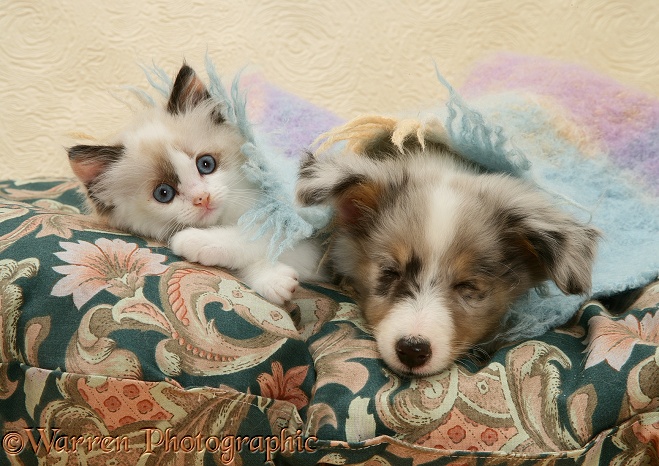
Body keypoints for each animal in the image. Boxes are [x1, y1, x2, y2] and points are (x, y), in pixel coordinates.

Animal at [67, 64, 324, 306]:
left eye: (206, 164)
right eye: (163, 193)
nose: (202, 198)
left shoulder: (301, 229)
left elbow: (257, 234)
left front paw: (195, 240)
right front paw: (274, 280)